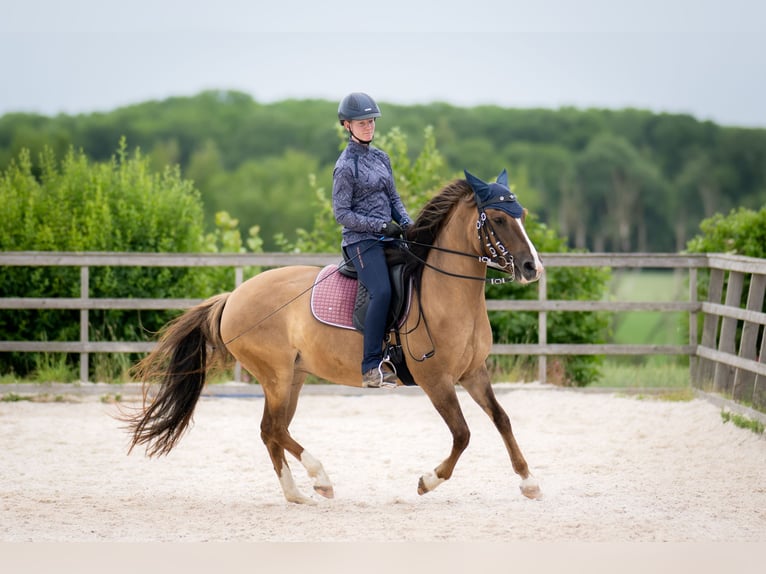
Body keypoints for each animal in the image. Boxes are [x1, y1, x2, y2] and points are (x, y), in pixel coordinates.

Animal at [124, 170, 544, 504]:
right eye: (499, 219)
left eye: (521, 215)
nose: (532, 268)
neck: (447, 293)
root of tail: (233, 297)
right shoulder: (436, 380)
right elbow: (463, 434)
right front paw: (428, 481)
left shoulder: (473, 373)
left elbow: (502, 419)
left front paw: (529, 482)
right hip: (276, 376)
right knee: (274, 429)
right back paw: (320, 478)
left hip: (292, 377)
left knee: (271, 431)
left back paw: (297, 494)